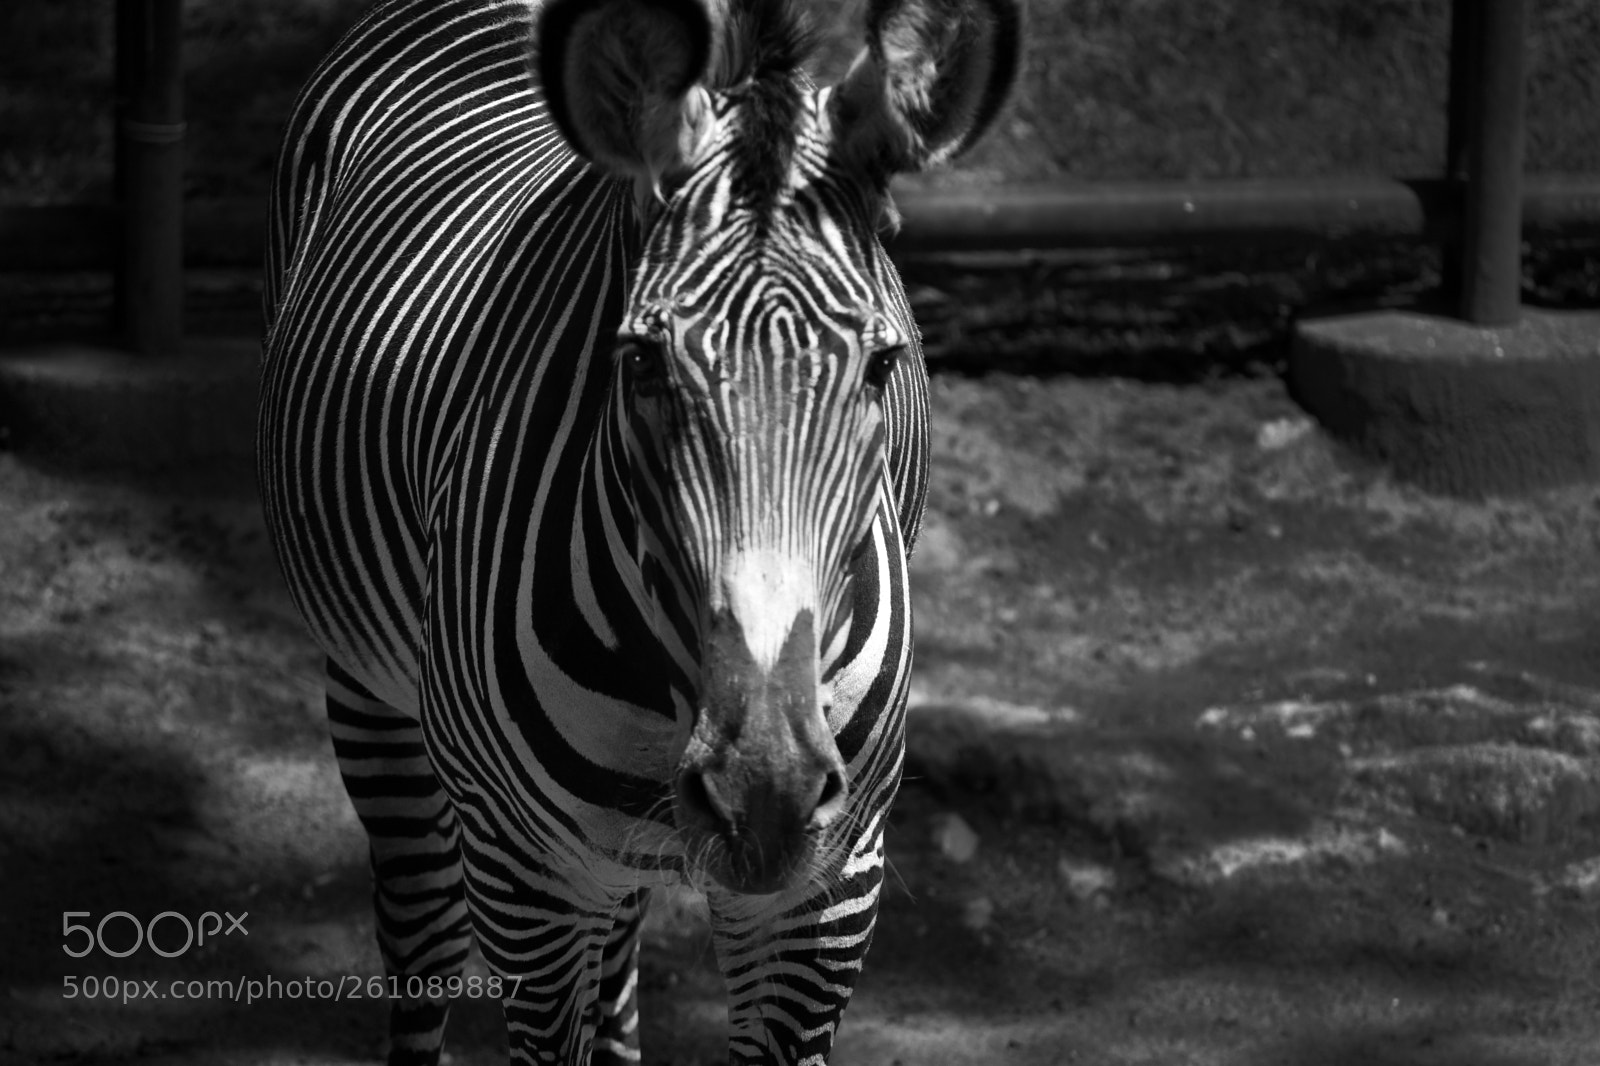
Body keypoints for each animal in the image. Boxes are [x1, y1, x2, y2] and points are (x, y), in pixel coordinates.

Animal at [257, 0, 1018, 1062]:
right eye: (642, 363)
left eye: (881, 366)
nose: (765, 791)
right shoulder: (524, 878)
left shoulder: (830, 889)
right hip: (375, 701)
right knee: (422, 941)